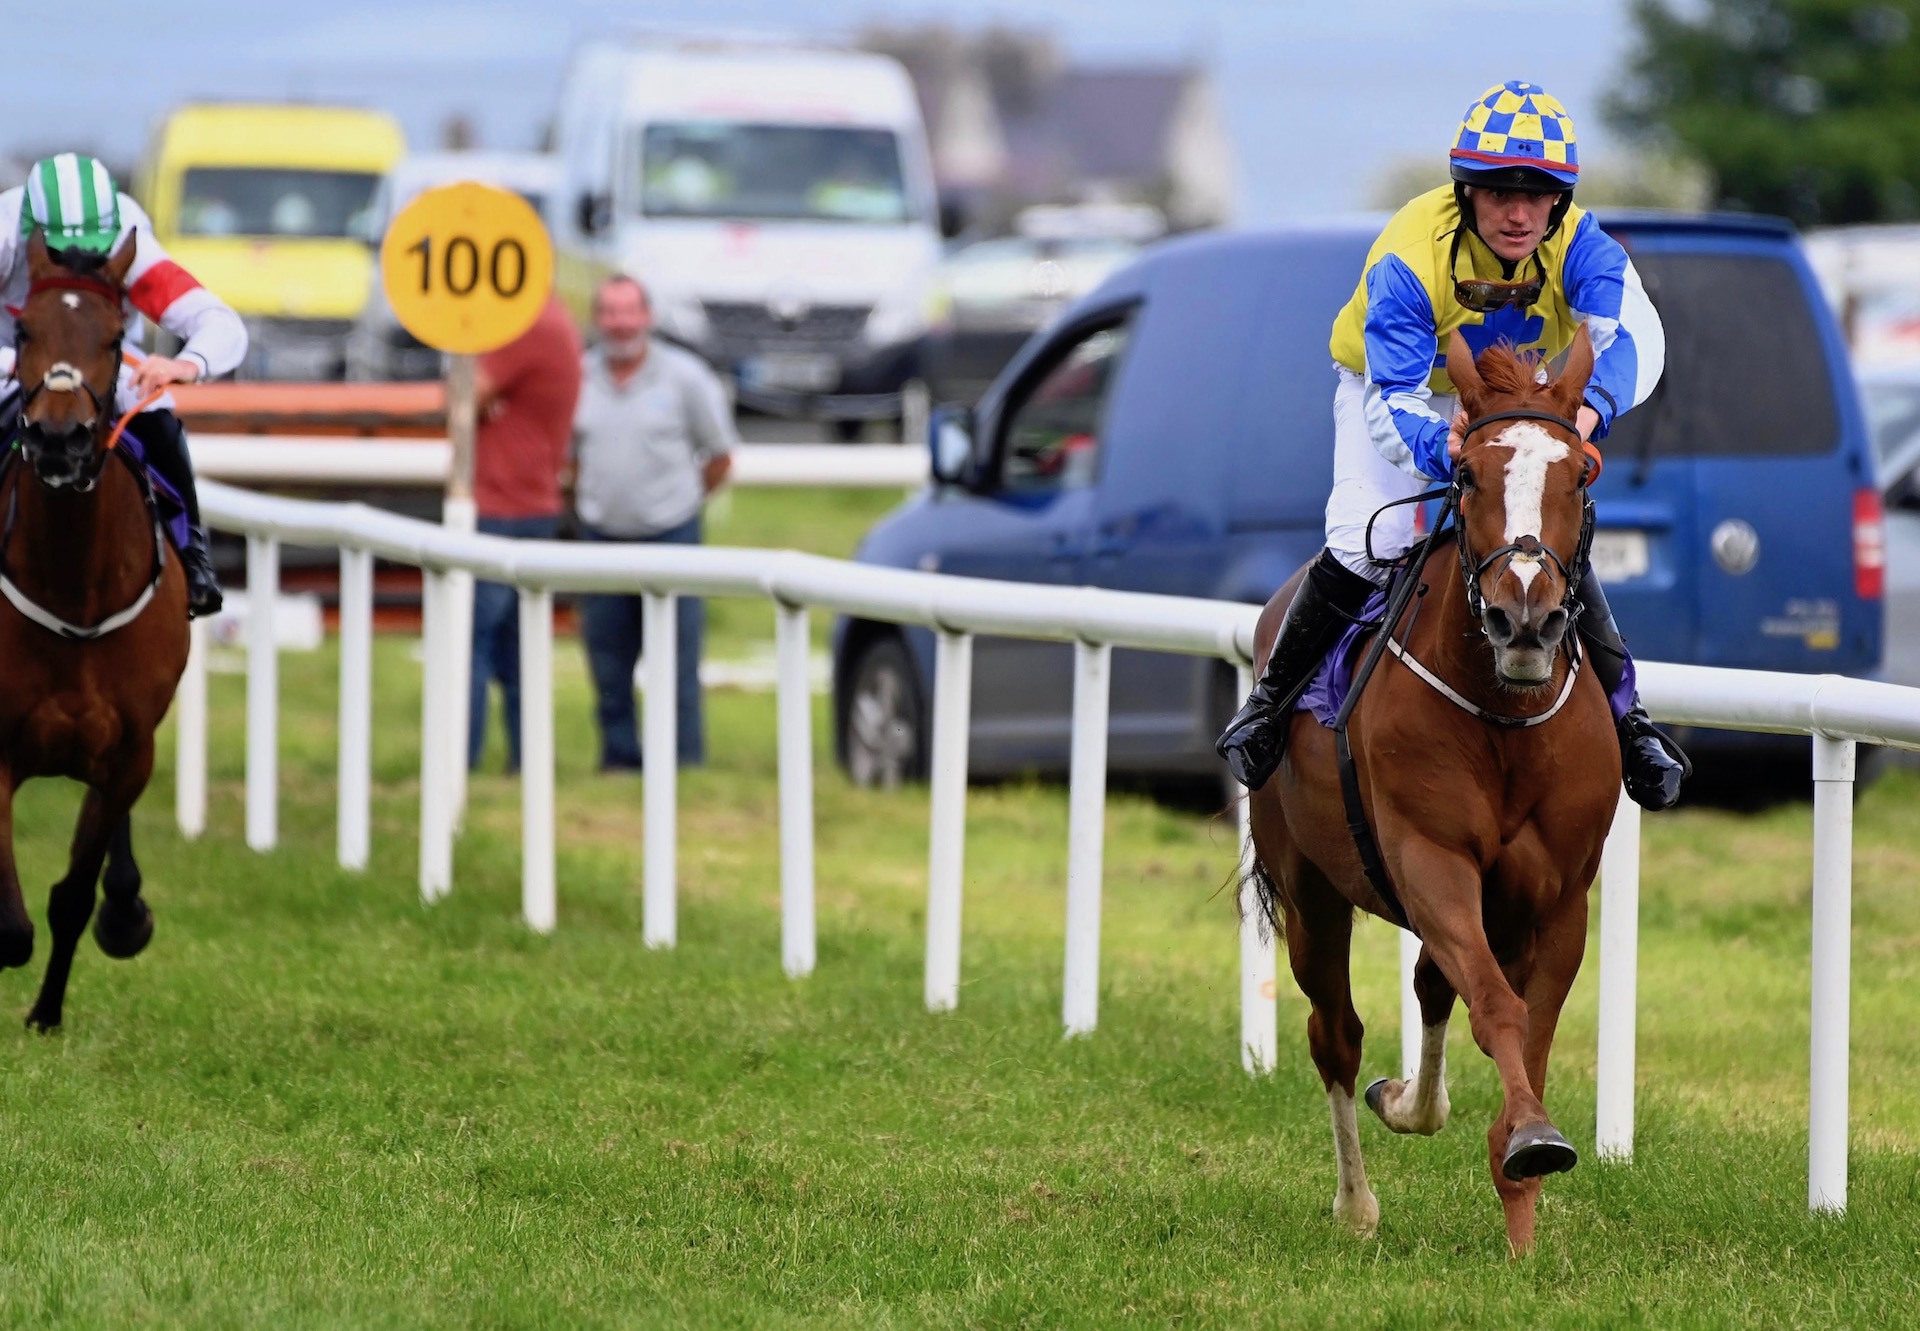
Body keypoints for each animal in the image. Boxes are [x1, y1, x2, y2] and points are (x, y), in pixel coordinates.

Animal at [1251, 326, 1628, 1252]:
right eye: (1467, 474)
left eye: (1580, 472)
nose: (1523, 619)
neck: (1504, 714)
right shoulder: (1431, 859)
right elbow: (1496, 1006)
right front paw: (1528, 1141)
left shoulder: (1559, 896)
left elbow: (1528, 1025)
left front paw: (1522, 1200)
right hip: (1311, 890)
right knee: (1335, 1033)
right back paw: (1357, 1200)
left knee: (1427, 982)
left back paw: (1412, 1103)